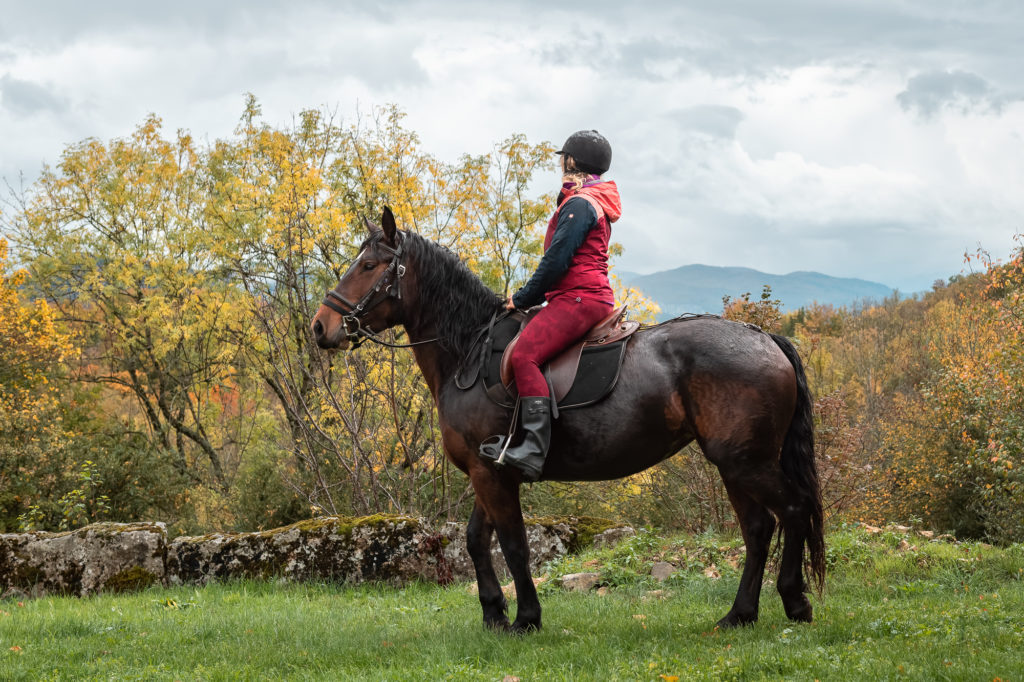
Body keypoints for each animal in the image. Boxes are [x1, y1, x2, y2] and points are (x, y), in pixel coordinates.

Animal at [309, 206, 823, 630]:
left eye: (369, 266)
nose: (320, 327)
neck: (468, 351)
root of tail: (765, 338)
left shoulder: (490, 474)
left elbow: (514, 544)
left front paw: (526, 618)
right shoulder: (487, 469)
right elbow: (476, 540)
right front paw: (493, 614)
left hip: (746, 461)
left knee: (793, 511)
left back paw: (794, 602)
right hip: (735, 465)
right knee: (758, 528)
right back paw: (740, 615)